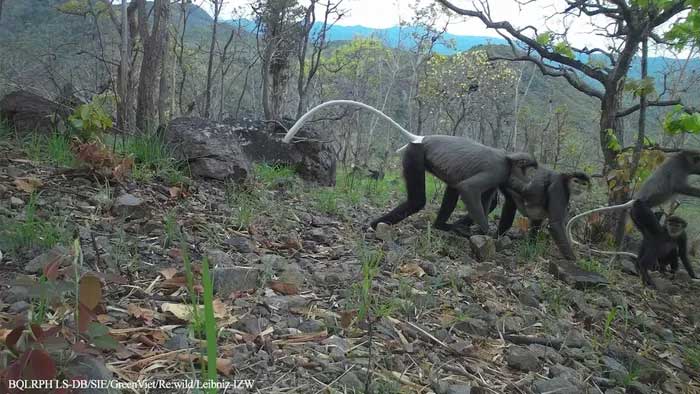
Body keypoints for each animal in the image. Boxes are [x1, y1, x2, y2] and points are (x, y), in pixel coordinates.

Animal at [282, 100, 540, 234]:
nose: (530, 181)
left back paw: (441, 226)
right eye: (527, 170)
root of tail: (421, 138)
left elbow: (488, 199)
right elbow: (470, 190)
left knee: (452, 186)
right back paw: (375, 226)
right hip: (414, 155)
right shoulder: (497, 170)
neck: (508, 160)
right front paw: (485, 233)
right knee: (419, 200)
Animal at [568, 149, 700, 288]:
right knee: (657, 237)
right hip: (641, 210)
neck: (684, 159)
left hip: (637, 216)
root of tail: (634, 201)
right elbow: (679, 186)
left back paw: (640, 266)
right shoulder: (679, 166)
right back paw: (644, 269)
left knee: (649, 236)